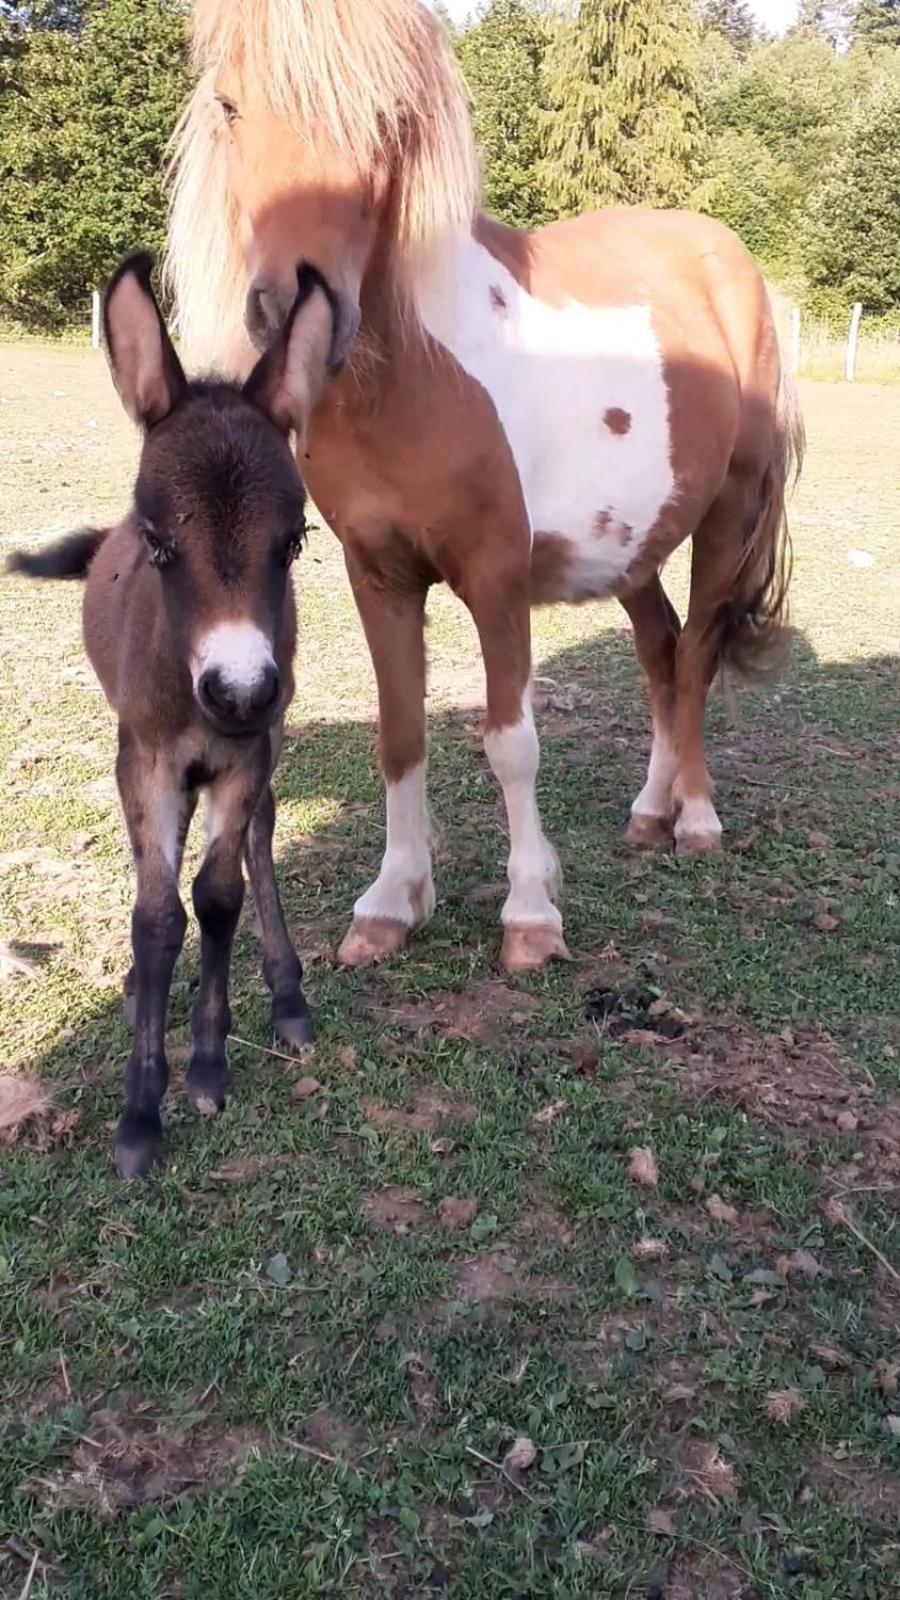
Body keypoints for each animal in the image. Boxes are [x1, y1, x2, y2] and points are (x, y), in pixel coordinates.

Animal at [10, 252, 334, 1177]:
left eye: (294, 541)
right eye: (158, 544)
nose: (238, 690)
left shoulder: (243, 754)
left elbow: (219, 893)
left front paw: (209, 1063)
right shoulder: (150, 758)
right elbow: (156, 917)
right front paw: (139, 1113)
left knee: (257, 839)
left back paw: (288, 993)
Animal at [164, 0, 800, 972]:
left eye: (385, 119)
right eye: (230, 107)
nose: (287, 311)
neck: (416, 377)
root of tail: (731, 261)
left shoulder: (497, 579)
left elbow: (511, 744)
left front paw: (532, 914)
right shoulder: (379, 578)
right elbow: (399, 734)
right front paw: (391, 902)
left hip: (728, 514)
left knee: (694, 658)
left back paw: (694, 818)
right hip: (631, 547)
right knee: (660, 653)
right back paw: (649, 812)